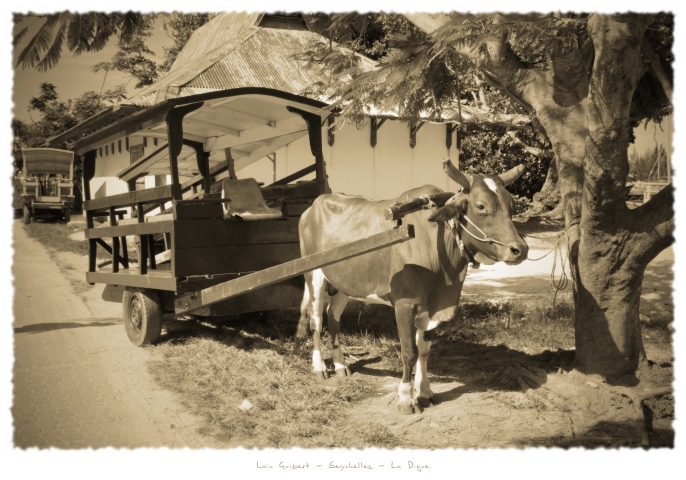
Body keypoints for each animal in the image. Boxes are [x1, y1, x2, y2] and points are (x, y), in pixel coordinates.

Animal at [294, 158, 528, 414]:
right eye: (481, 206)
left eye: (511, 205)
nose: (520, 249)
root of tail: (313, 206)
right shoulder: (404, 305)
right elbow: (409, 352)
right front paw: (406, 398)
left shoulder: (434, 307)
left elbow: (424, 351)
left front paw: (424, 392)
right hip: (314, 274)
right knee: (316, 320)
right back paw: (319, 367)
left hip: (344, 283)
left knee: (333, 318)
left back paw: (339, 364)